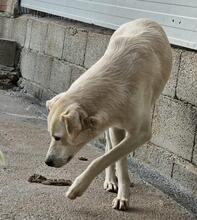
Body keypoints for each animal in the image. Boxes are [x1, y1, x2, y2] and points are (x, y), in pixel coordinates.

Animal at [45, 19, 172, 211]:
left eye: (57, 137)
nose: (47, 162)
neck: (115, 83)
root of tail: (144, 19)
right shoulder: (115, 126)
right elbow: (116, 159)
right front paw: (120, 191)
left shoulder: (141, 134)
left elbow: (103, 159)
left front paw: (78, 187)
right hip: (113, 128)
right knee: (109, 148)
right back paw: (111, 180)